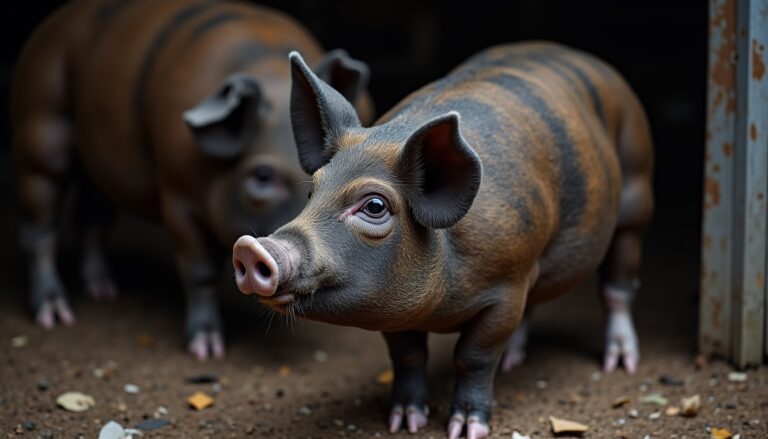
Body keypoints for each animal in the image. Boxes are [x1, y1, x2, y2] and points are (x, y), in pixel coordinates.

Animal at [12, 0, 373, 359]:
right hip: (41, 117)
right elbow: (200, 271)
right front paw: (206, 351)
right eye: (262, 175)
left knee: (93, 215)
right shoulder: (177, 196)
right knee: (41, 220)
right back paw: (55, 315)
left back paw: (103, 291)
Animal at [232, 41, 653, 438]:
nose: (250, 247)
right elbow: (408, 355)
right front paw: (404, 422)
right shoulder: (394, 308)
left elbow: (473, 357)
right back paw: (514, 362)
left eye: (374, 206)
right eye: (312, 192)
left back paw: (620, 363)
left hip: (636, 191)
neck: (441, 305)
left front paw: (467, 429)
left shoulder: (506, 286)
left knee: (617, 283)